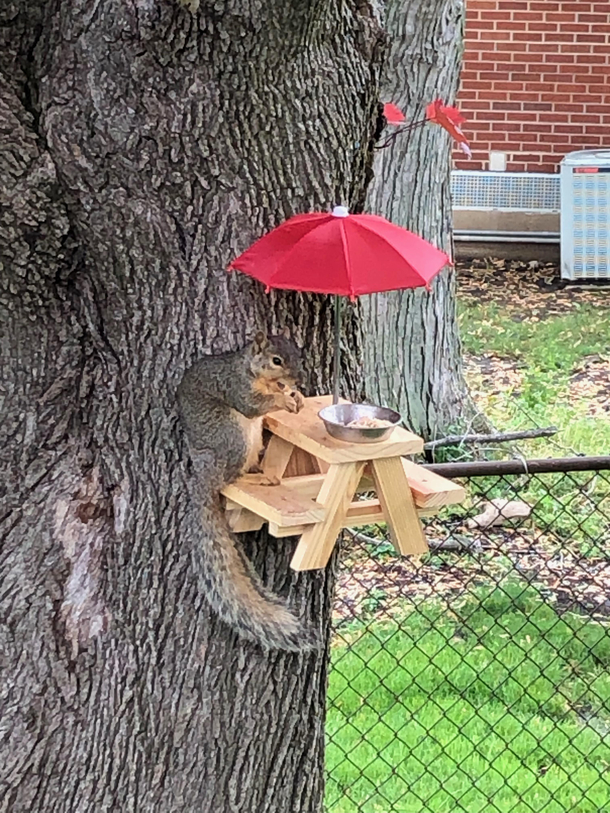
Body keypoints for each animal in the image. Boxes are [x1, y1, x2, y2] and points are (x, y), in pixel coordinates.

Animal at [176, 326, 318, 652]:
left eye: (297, 353)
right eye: (277, 360)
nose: (299, 380)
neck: (257, 374)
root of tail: (203, 471)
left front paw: (298, 398)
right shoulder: (236, 387)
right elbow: (254, 405)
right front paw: (284, 401)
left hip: (252, 441)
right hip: (232, 434)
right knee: (228, 478)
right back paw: (256, 479)